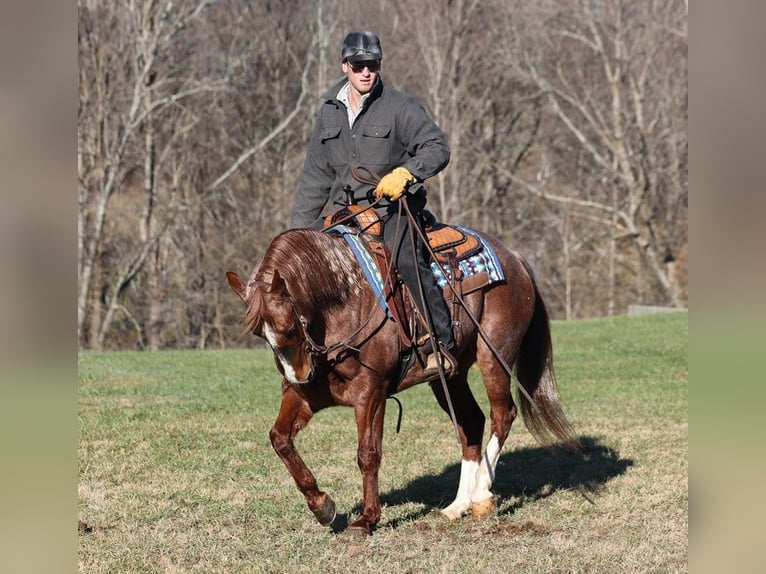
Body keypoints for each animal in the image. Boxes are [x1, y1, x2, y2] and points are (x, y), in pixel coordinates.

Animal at [225, 225, 580, 536]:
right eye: (260, 333)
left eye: (289, 326)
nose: (300, 374)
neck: (344, 301)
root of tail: (515, 258)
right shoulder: (304, 395)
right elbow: (280, 439)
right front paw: (322, 506)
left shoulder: (371, 391)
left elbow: (368, 453)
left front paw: (367, 519)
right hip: (449, 377)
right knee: (471, 422)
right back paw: (457, 505)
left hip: (495, 355)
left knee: (502, 415)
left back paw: (480, 496)